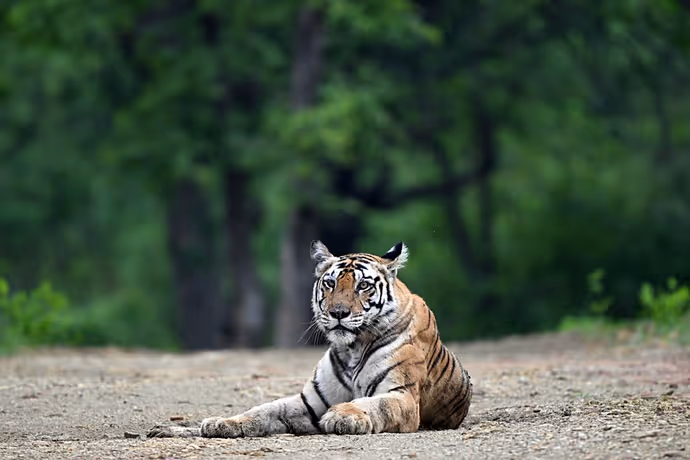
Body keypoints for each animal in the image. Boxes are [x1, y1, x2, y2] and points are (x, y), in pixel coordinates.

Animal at [147, 240, 472, 438]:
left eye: (363, 286)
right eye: (330, 284)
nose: (338, 313)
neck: (352, 347)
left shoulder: (401, 395)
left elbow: (372, 405)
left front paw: (343, 417)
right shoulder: (310, 402)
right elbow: (265, 409)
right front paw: (226, 422)